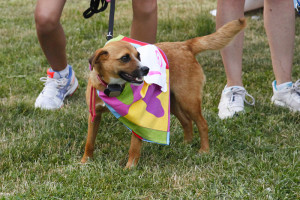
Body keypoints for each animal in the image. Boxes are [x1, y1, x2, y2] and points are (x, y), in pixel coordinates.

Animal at [80, 18, 246, 169]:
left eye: (138, 56)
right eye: (125, 58)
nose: (146, 69)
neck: (113, 87)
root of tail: (185, 45)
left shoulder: (139, 119)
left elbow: (134, 147)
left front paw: (129, 168)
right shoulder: (94, 115)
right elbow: (89, 141)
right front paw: (85, 161)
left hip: (188, 101)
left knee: (202, 124)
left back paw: (204, 150)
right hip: (173, 103)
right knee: (187, 122)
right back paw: (186, 144)